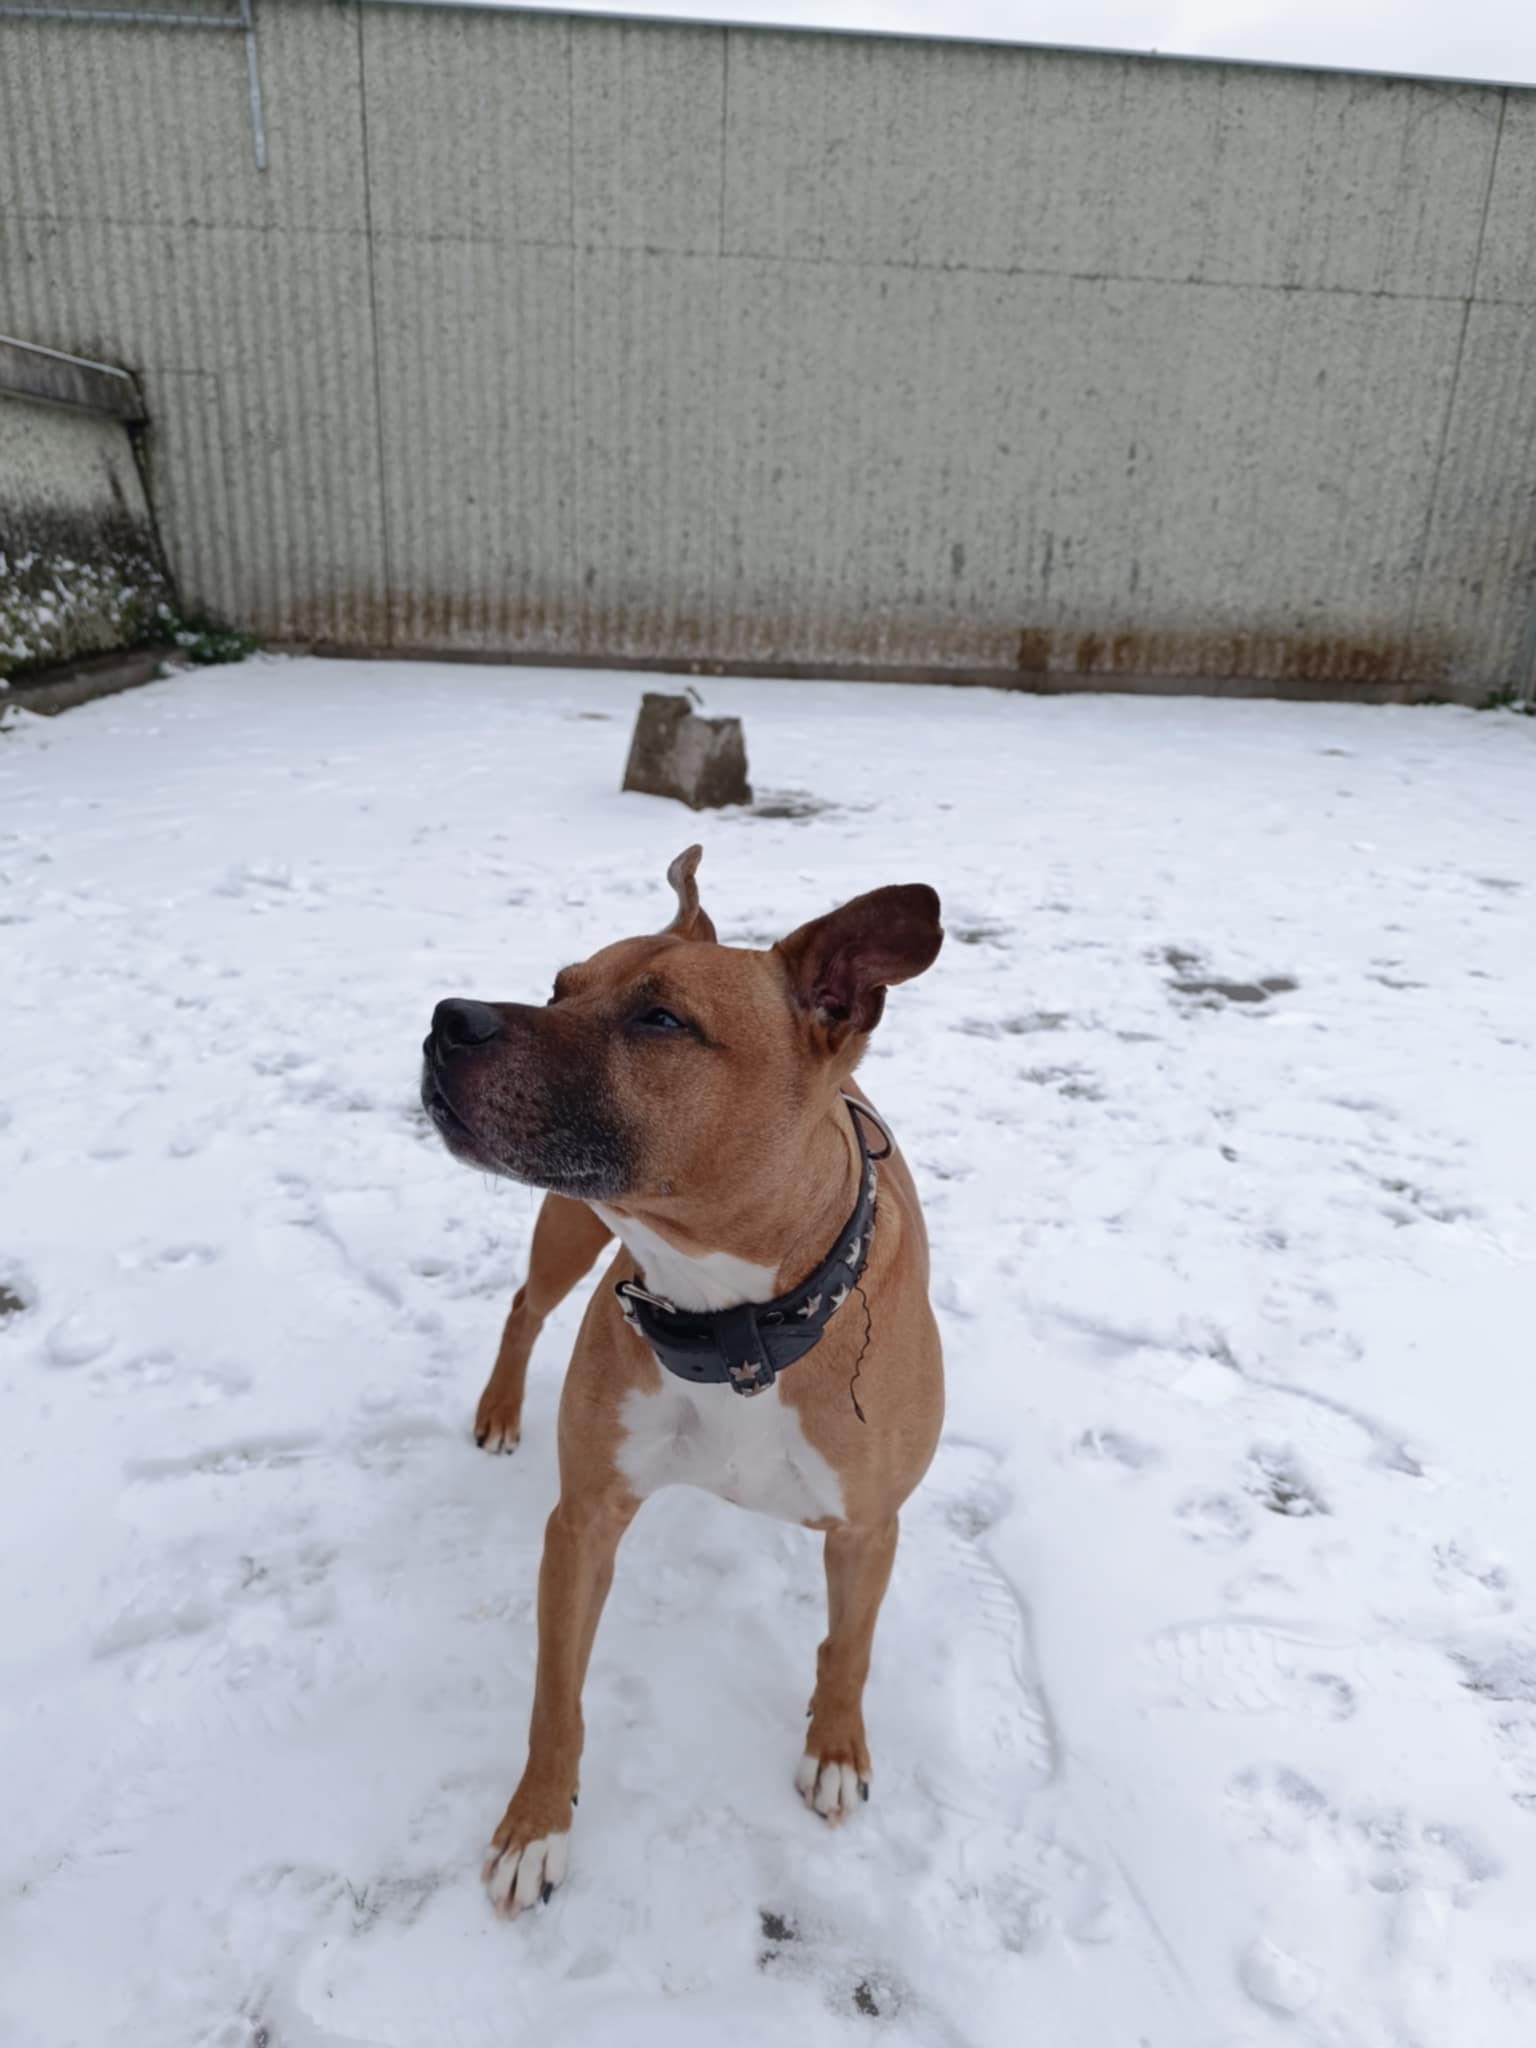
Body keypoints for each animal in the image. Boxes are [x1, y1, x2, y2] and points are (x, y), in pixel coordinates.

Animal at [421, 846, 945, 1916]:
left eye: (661, 1019)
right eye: (560, 986)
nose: (448, 1017)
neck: (734, 1319)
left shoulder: (870, 1525)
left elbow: (851, 1645)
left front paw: (836, 1747)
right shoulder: (583, 1521)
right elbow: (556, 1695)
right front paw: (536, 1824)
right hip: (566, 1223)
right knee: (524, 1306)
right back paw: (499, 1408)